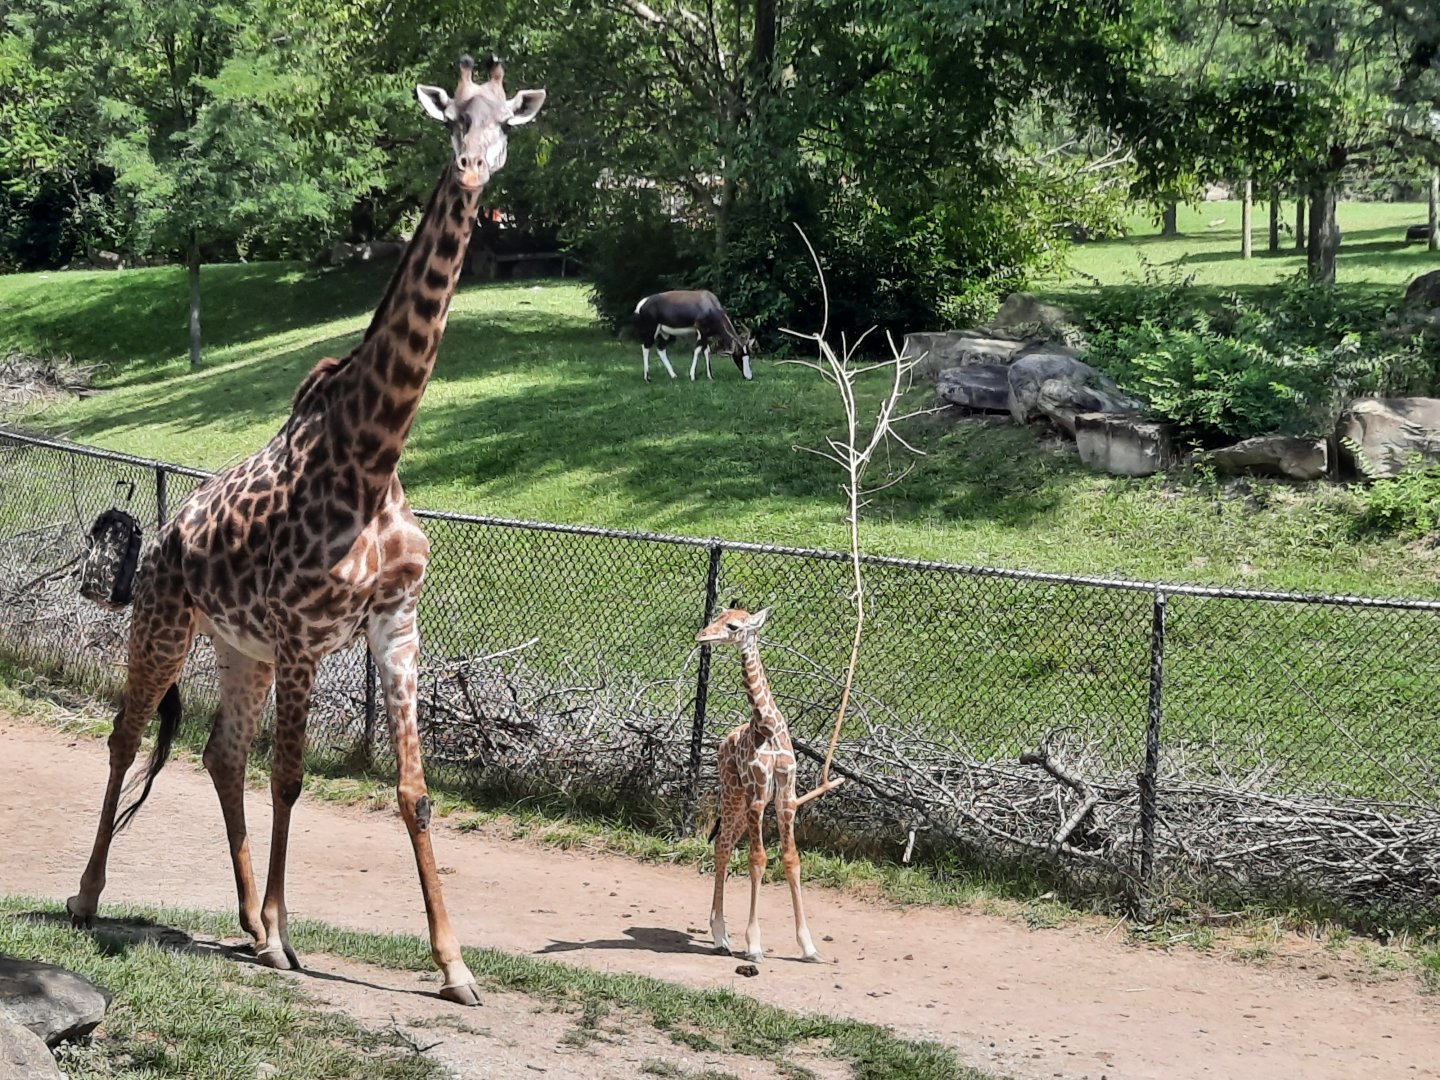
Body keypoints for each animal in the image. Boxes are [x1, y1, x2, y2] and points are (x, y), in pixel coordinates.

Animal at [65, 53, 545, 1006]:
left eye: (505, 122)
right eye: (452, 118)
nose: (473, 170)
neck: (373, 453)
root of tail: (166, 536)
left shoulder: (394, 625)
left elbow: (413, 791)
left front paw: (454, 966)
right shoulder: (300, 632)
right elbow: (290, 776)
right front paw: (289, 940)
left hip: (236, 647)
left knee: (219, 753)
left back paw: (248, 923)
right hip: (166, 622)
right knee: (129, 736)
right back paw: (91, 897)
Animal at [696, 606, 822, 964]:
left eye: (733, 625)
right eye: (718, 615)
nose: (702, 636)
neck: (767, 727)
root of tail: (724, 741)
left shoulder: (786, 797)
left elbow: (791, 860)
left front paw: (808, 946)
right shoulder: (757, 793)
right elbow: (757, 860)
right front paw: (753, 945)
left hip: (744, 808)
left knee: (723, 843)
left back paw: (720, 934)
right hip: (732, 793)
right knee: (723, 847)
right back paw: (721, 936)